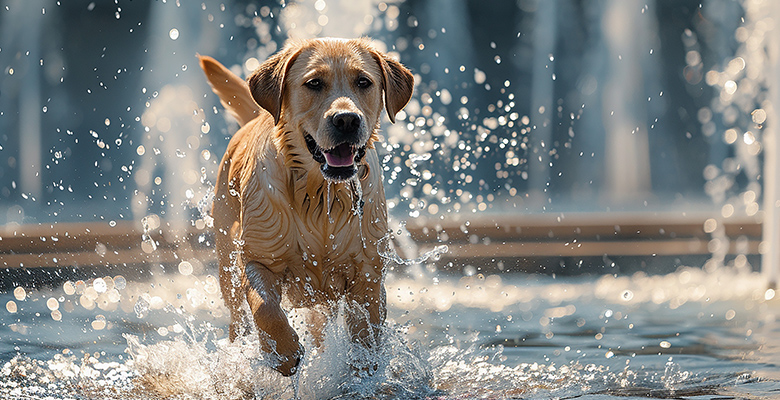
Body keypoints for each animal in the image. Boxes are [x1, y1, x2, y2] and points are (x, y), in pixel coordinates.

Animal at [200, 36, 414, 376]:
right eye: (314, 83)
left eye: (363, 82)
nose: (346, 119)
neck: (321, 195)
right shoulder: (259, 258)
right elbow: (265, 308)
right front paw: (284, 353)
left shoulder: (368, 274)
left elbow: (366, 332)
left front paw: (361, 372)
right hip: (227, 267)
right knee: (239, 319)